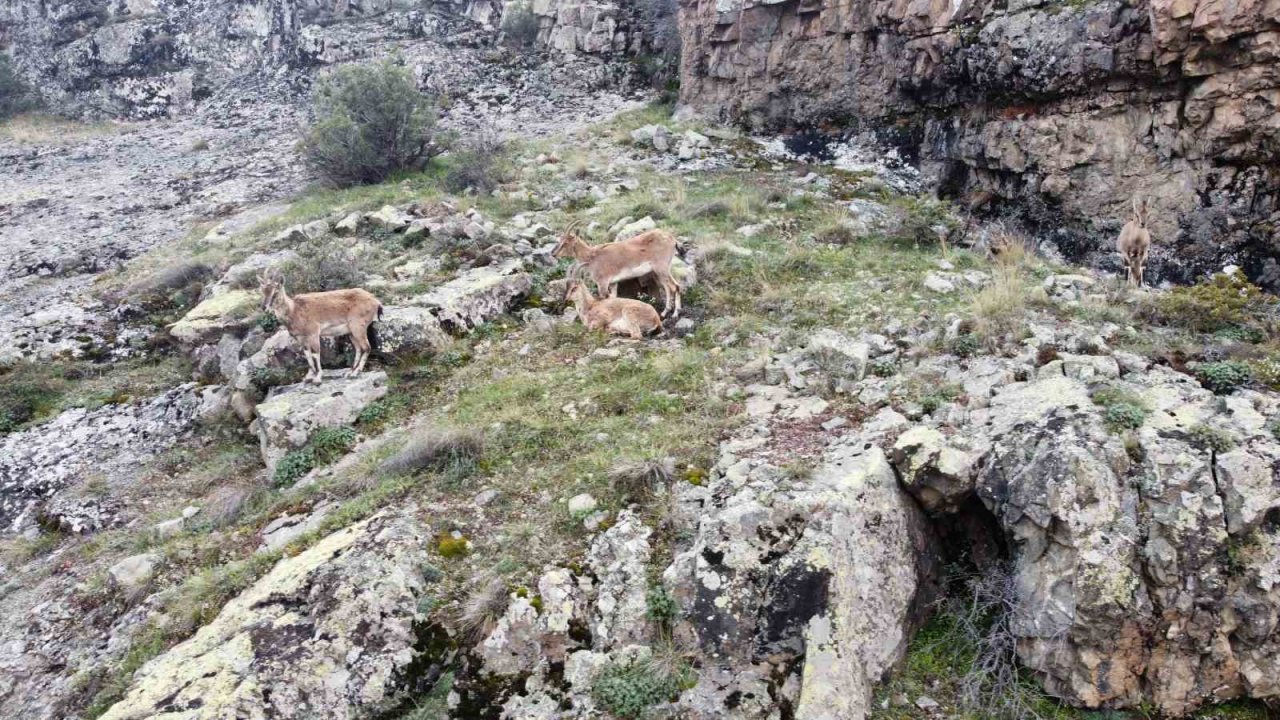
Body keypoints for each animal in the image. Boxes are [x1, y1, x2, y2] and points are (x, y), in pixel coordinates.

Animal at [555, 221, 686, 316]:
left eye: (566, 243)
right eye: (560, 240)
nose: (553, 253)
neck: (592, 256)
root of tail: (672, 239)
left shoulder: (602, 283)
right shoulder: (613, 283)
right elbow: (614, 299)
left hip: (661, 268)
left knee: (675, 286)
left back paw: (675, 313)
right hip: (658, 272)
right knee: (668, 288)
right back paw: (664, 313)